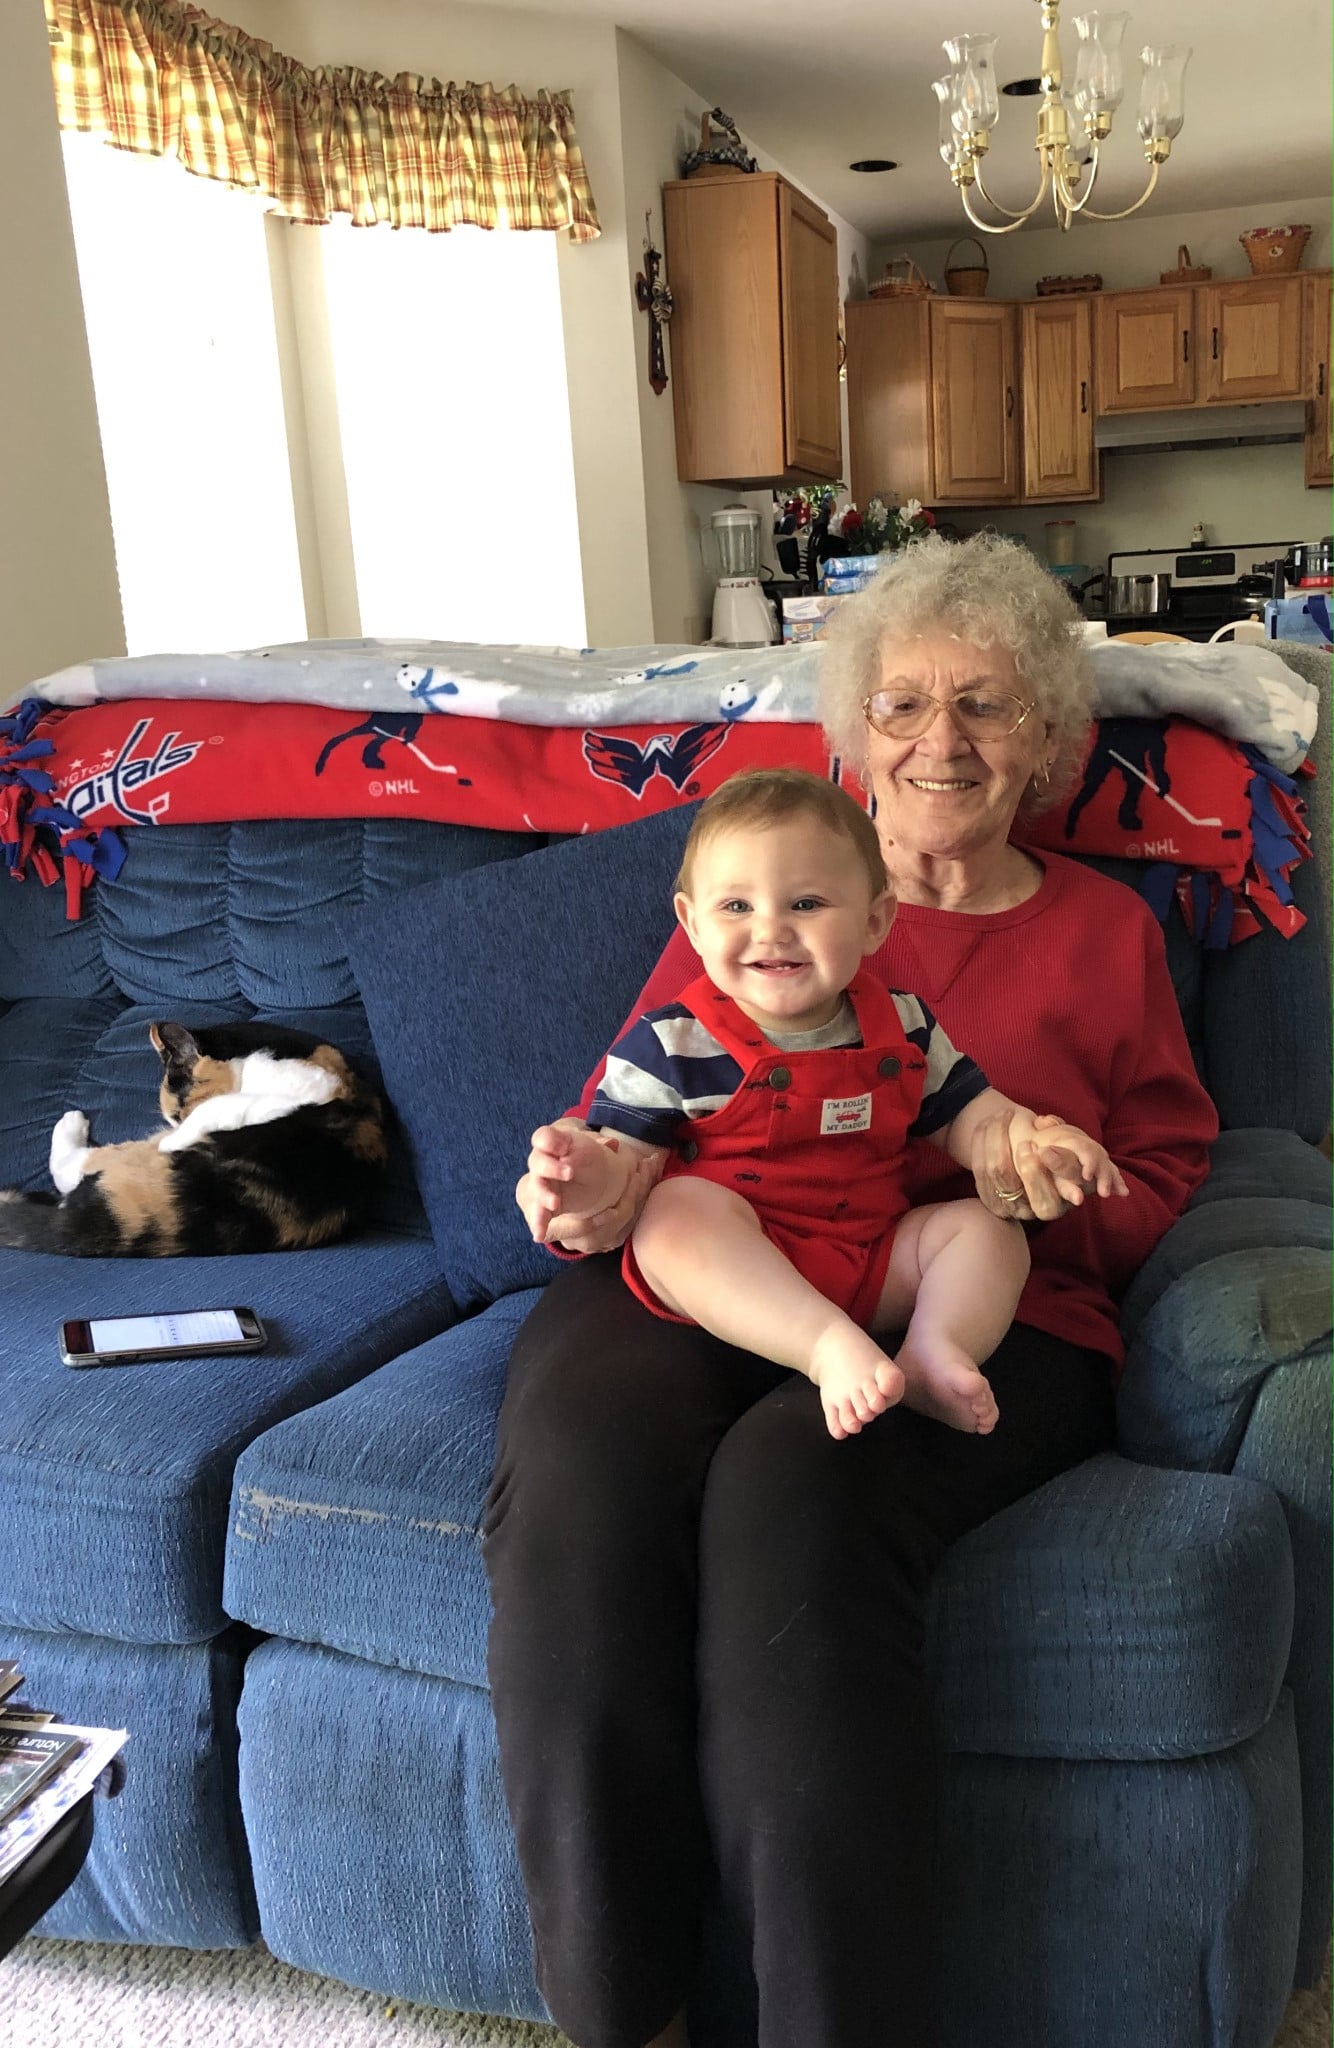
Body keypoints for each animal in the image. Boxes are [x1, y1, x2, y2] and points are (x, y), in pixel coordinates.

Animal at [0, 1021, 387, 1257]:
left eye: (180, 1111)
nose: (172, 1128)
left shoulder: (311, 1090)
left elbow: (221, 1105)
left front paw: (172, 1140)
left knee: (70, 1170)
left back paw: (73, 1121)